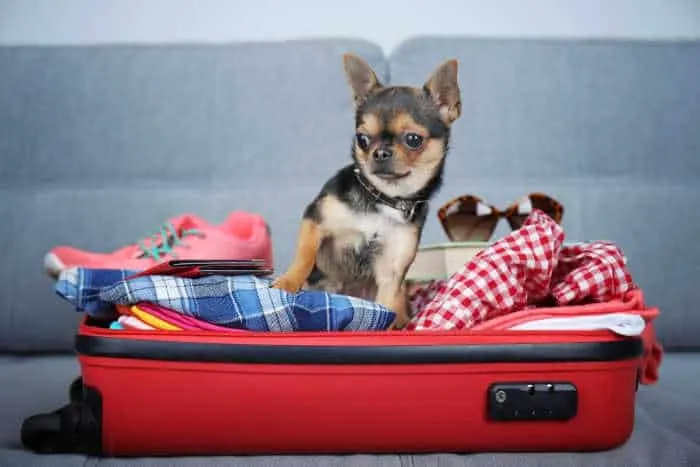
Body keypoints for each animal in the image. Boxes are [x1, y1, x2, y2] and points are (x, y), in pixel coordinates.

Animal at [274, 54, 464, 330]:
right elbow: (304, 257)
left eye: (413, 140)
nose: (380, 152)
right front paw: (287, 283)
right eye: (362, 139)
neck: (382, 200)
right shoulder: (315, 220)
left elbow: (384, 307)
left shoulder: (390, 272)